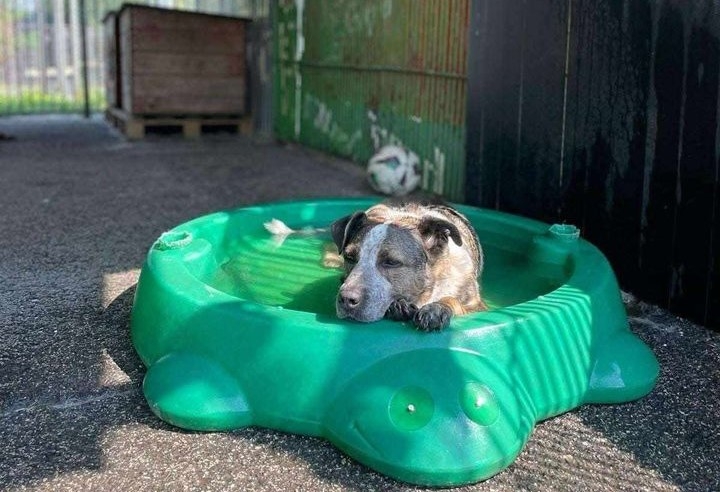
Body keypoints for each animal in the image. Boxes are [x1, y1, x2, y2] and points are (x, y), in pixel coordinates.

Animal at [330, 202, 486, 332]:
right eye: (349, 257)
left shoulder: (477, 305)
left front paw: (436, 309)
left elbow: (453, 300)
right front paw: (398, 305)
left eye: (391, 262)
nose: (346, 299)